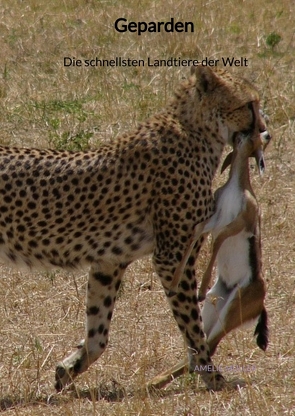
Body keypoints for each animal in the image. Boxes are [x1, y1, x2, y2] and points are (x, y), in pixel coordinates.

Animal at [0, 66, 268, 392]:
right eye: (249, 104)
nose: (264, 130)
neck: (196, 129)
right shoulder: (171, 258)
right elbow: (193, 328)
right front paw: (212, 376)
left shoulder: (109, 261)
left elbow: (98, 331)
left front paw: (69, 368)